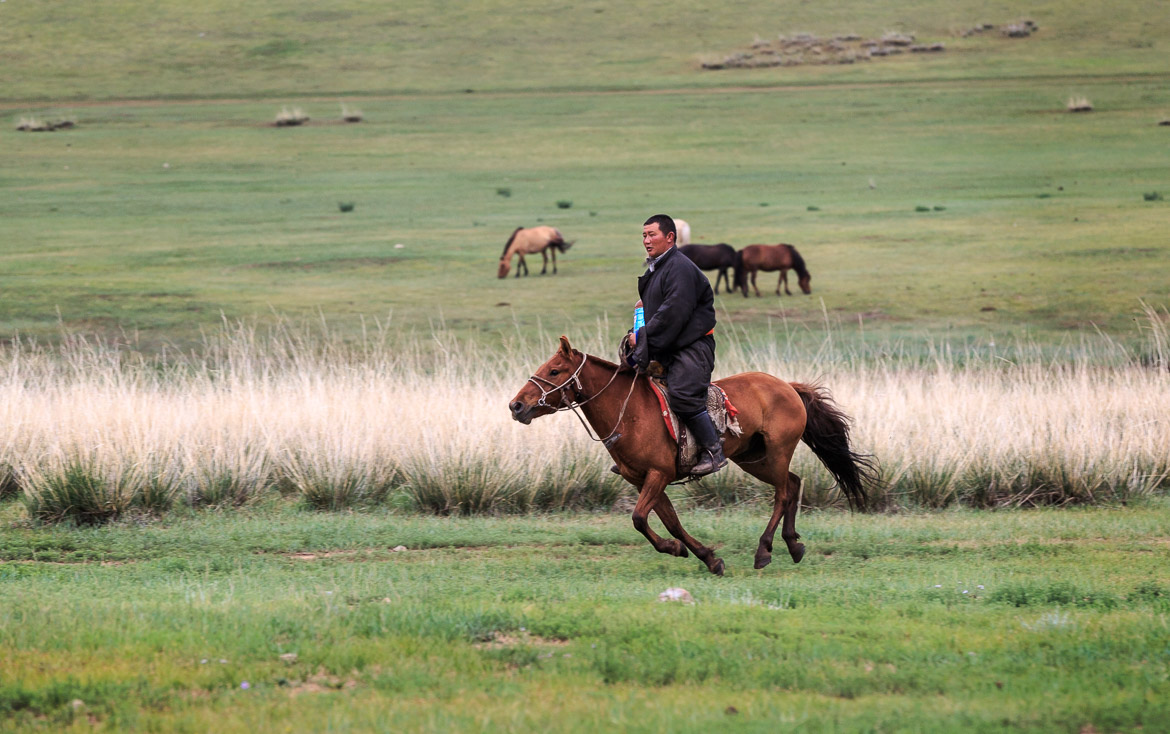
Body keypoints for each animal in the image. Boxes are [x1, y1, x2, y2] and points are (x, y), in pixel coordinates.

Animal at [507, 337, 879, 578]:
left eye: (555, 371)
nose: (516, 405)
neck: (630, 412)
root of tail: (788, 386)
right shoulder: (644, 480)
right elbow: (669, 521)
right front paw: (705, 557)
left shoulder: (657, 475)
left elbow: (639, 519)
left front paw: (678, 549)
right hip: (754, 459)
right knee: (793, 483)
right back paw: (792, 544)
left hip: (775, 454)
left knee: (784, 492)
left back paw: (764, 549)